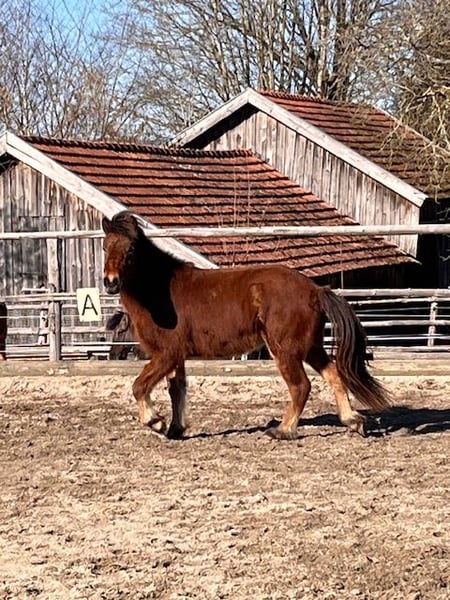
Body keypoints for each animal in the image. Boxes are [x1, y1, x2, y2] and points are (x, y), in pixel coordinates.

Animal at [102, 211, 390, 440]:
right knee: (333, 374)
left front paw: (155, 422)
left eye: (130, 250)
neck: (160, 292)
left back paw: (283, 430)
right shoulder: (176, 357)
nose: (110, 282)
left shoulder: (167, 353)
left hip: (285, 349)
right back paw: (353, 421)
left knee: (301, 386)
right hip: (310, 347)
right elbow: (177, 390)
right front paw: (175, 428)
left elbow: (139, 386)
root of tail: (315, 290)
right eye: (105, 247)